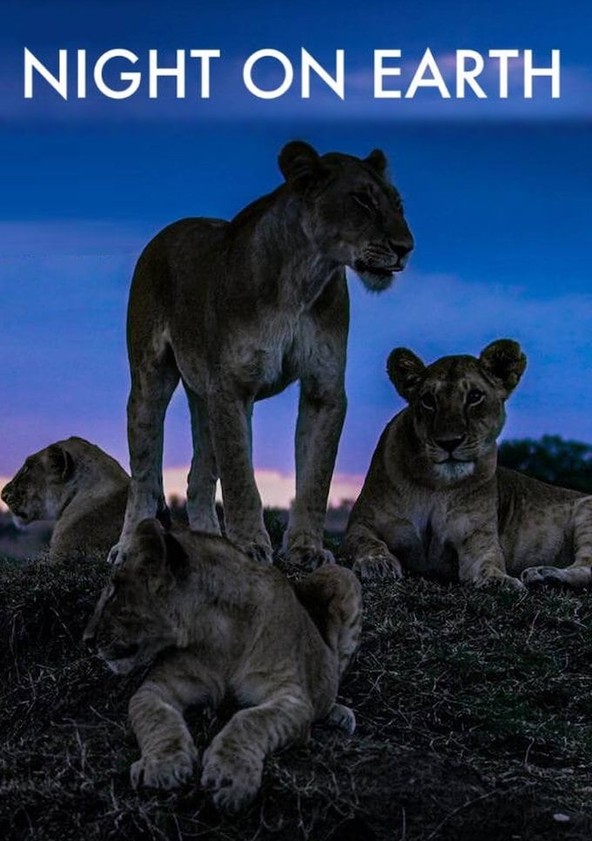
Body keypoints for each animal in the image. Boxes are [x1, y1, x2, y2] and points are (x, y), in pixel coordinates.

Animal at [82, 520, 360, 812]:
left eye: (114, 593)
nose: (86, 640)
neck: (219, 635)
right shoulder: (156, 688)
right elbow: (155, 716)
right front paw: (162, 766)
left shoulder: (291, 696)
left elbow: (250, 719)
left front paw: (230, 777)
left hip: (342, 576)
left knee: (335, 674)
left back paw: (339, 714)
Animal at [113, 141, 414, 568]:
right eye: (362, 200)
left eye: (397, 203)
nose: (406, 248)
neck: (303, 279)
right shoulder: (232, 388)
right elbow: (241, 476)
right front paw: (250, 545)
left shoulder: (324, 389)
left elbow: (315, 479)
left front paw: (306, 548)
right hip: (151, 381)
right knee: (143, 475)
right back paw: (128, 546)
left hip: (205, 396)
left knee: (198, 477)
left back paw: (209, 542)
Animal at [342, 338, 592, 588]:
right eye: (428, 400)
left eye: (474, 396)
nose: (449, 442)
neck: (436, 486)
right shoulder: (362, 521)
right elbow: (366, 541)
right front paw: (377, 564)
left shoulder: (477, 540)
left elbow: (489, 562)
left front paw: (501, 580)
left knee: (586, 568)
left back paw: (543, 573)